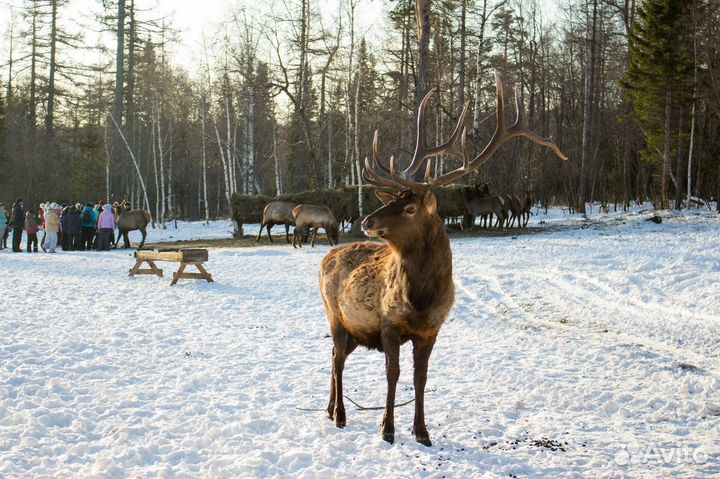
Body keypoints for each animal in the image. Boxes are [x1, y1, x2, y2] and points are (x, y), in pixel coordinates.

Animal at [320, 73, 564, 448]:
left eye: (409, 207)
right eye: (392, 200)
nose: (367, 221)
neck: (421, 299)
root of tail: (326, 256)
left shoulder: (431, 329)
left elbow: (421, 377)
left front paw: (422, 432)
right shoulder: (389, 323)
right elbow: (393, 374)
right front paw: (388, 429)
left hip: (355, 330)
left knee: (335, 357)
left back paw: (331, 409)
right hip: (335, 315)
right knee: (335, 360)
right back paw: (340, 415)